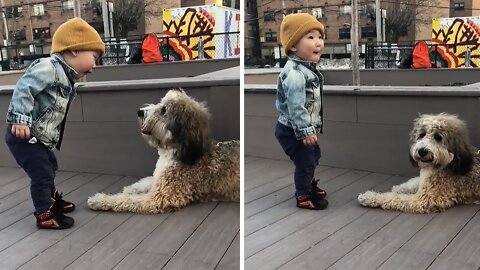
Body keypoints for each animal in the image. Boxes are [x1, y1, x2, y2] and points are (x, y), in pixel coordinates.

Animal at [86, 89, 240, 214]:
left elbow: (127, 199)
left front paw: (100, 199)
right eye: (160, 103)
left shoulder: (160, 197)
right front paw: (132, 188)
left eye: (164, 110)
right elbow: (147, 180)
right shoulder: (159, 178)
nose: (139, 111)